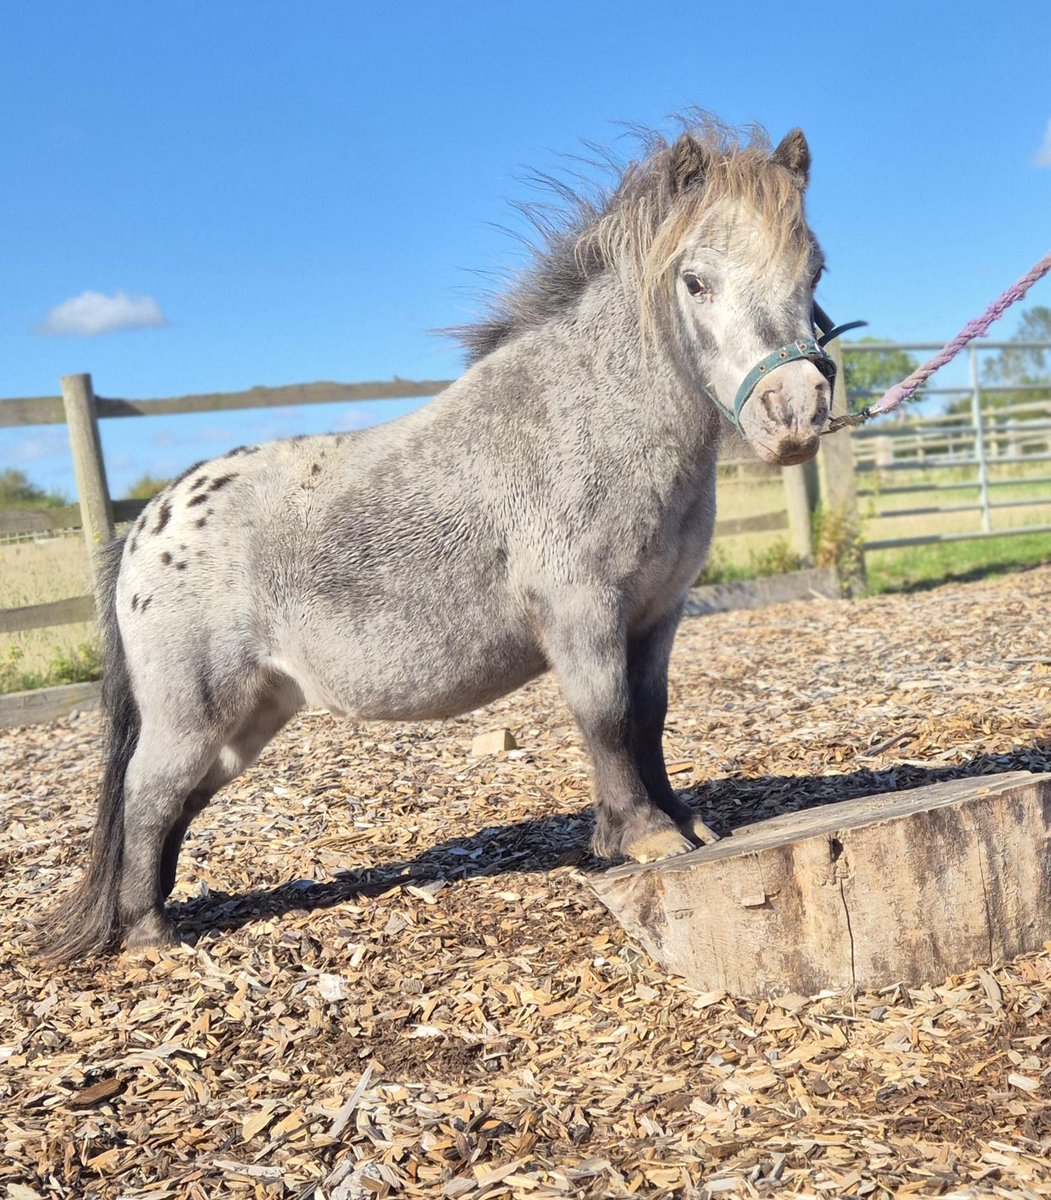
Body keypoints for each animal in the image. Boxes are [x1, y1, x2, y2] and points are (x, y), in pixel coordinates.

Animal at [40, 117, 844, 960]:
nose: (794, 413)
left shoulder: (658, 614)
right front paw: (644, 835)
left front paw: (677, 821)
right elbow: (608, 718)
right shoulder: (584, 614)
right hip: (192, 711)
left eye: (812, 269)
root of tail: (149, 523)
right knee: (148, 795)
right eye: (695, 282)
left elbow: (648, 716)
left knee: (176, 804)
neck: (587, 419)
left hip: (249, 716)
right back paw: (149, 933)